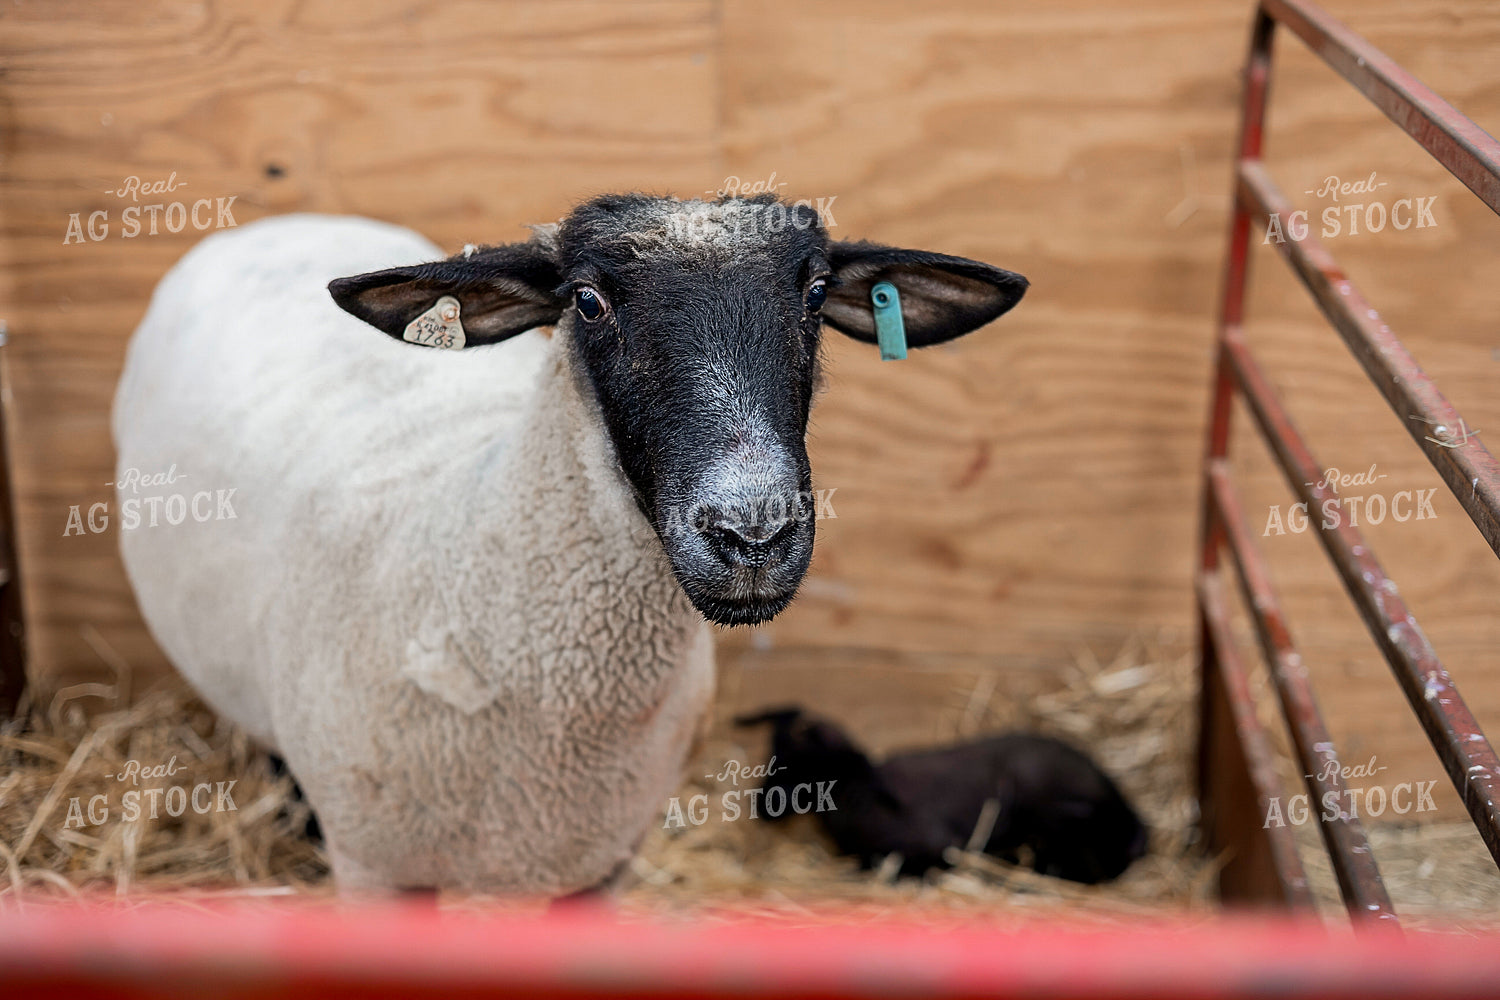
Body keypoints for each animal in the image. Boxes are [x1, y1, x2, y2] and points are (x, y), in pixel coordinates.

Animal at [111, 194, 1028, 894]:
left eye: (813, 295)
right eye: (587, 302)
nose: (752, 533)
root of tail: (278, 223)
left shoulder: (603, 865)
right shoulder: (379, 872)